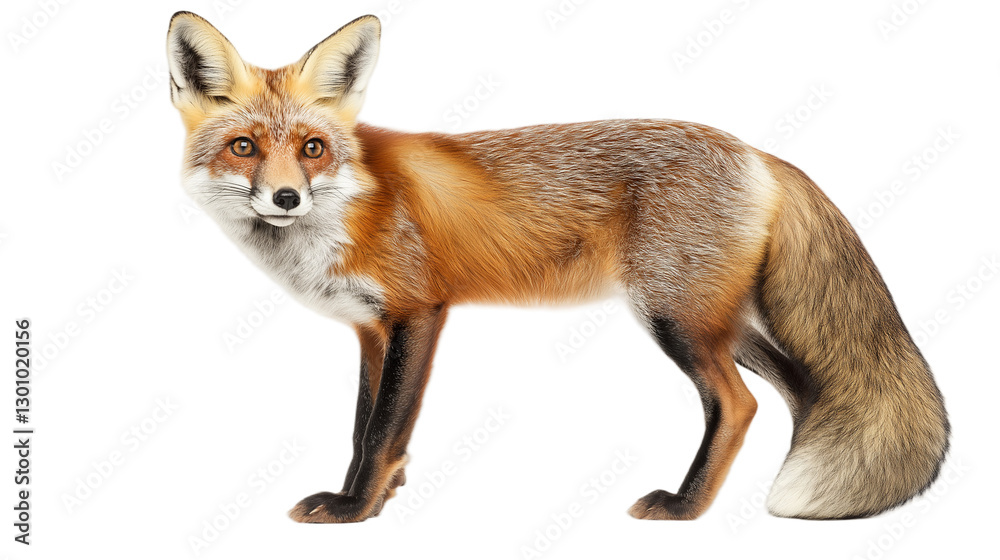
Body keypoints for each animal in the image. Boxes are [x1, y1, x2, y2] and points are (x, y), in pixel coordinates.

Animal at [166, 12, 949, 523]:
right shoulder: (370, 330)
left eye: (312, 148)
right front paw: (380, 496)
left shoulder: (418, 312)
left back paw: (685, 506)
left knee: (740, 404)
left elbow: (383, 426)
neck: (351, 204)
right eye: (243, 147)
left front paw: (356, 508)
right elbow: (367, 425)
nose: (286, 197)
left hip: (675, 318)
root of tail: (757, 151)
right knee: (801, 390)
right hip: (717, 319)